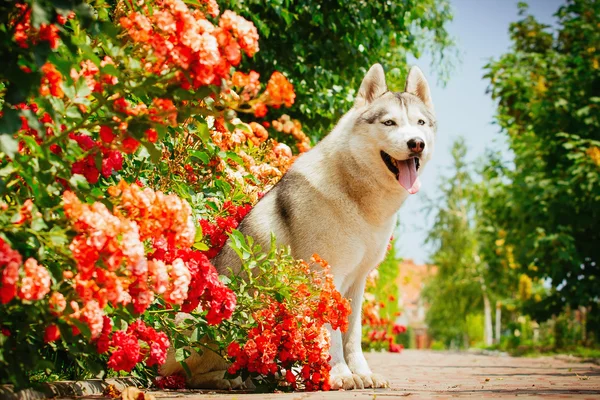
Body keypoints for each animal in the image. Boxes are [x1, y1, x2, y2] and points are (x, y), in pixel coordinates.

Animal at [161, 64, 436, 390]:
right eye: (389, 122)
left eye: (420, 123)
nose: (416, 143)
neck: (357, 196)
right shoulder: (323, 278)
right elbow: (331, 335)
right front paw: (340, 375)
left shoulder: (357, 284)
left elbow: (352, 335)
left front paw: (362, 373)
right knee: (186, 374)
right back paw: (231, 380)